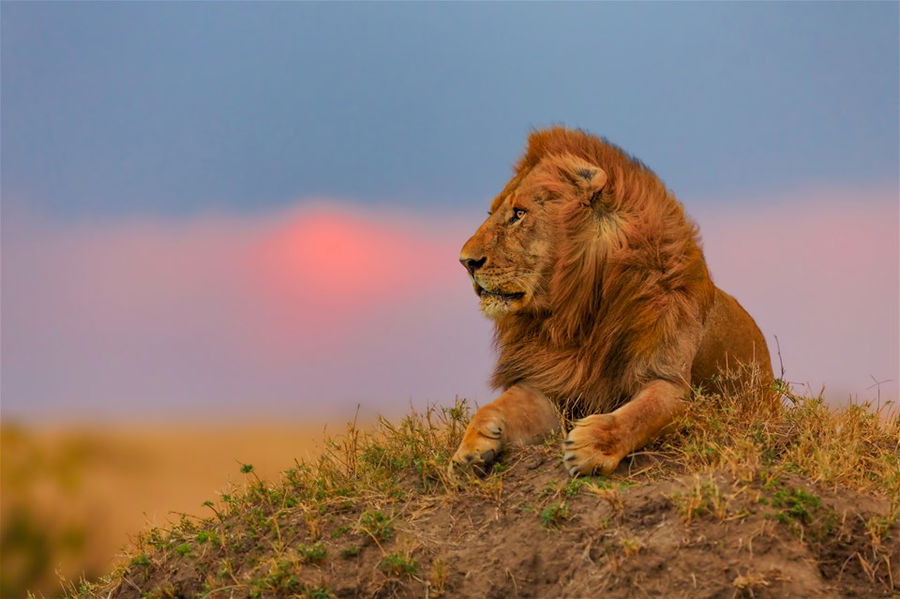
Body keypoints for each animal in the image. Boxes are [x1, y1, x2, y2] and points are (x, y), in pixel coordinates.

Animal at [450, 127, 772, 478]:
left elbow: (643, 413)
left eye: (519, 214)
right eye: (493, 213)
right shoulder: (549, 383)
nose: (465, 262)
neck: (578, 313)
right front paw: (469, 450)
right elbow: (496, 406)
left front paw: (590, 445)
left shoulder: (670, 380)